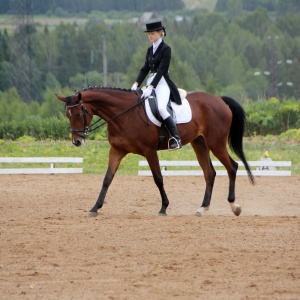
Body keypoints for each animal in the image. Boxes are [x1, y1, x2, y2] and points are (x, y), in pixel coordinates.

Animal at [55, 87, 254, 218]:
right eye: (67, 116)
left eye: (79, 114)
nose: (77, 141)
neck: (124, 114)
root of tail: (219, 99)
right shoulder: (117, 151)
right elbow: (107, 179)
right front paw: (95, 208)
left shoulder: (149, 151)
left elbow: (158, 178)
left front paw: (164, 208)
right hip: (199, 143)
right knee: (210, 173)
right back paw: (202, 208)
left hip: (216, 143)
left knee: (232, 167)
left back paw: (234, 206)